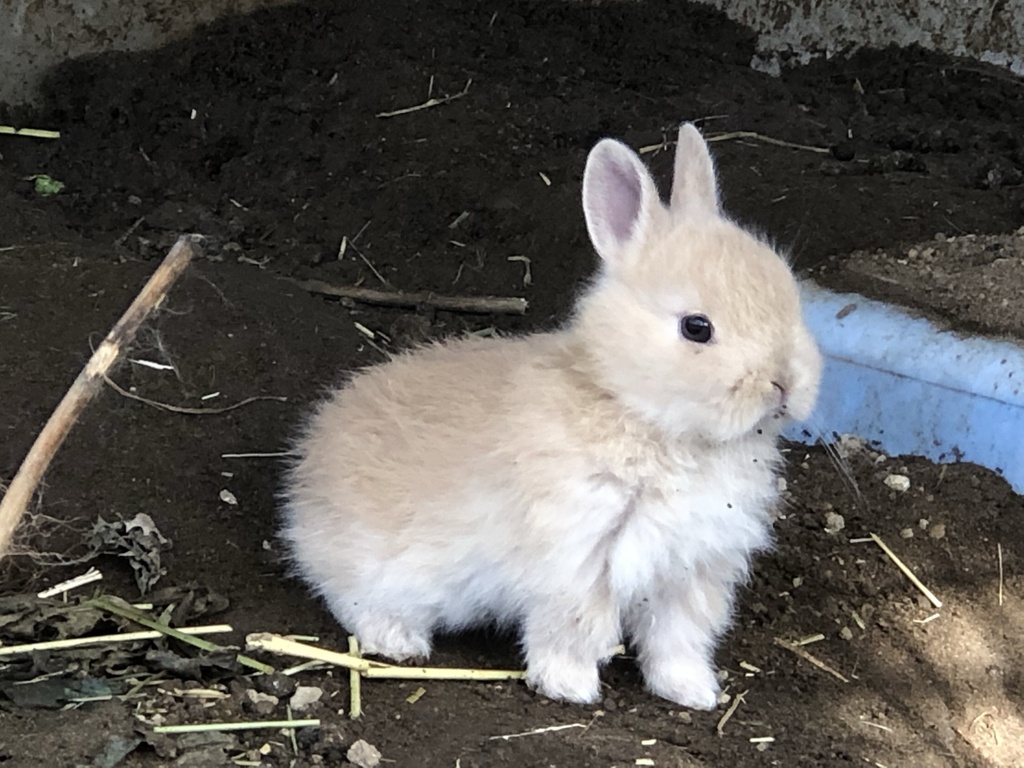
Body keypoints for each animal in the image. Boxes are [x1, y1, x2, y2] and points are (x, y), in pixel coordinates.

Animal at [282, 123, 823, 712]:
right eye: (696, 328)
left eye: (790, 296)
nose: (784, 383)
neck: (638, 410)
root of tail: (303, 486)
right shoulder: (578, 563)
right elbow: (571, 633)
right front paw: (571, 687)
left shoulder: (690, 572)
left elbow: (676, 639)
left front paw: (694, 692)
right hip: (380, 569)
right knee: (349, 598)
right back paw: (399, 640)